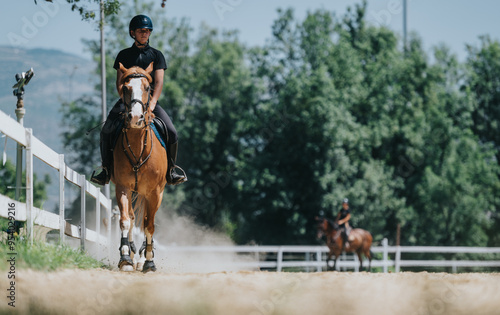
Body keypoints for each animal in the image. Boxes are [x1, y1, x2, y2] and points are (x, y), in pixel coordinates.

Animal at [111, 62, 168, 274]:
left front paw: (149, 262)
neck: (137, 147)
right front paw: (126, 258)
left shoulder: (155, 192)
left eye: (147, 88)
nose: (135, 117)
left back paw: (143, 258)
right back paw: (134, 255)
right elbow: (125, 220)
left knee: (144, 221)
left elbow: (149, 226)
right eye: (126, 88)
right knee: (133, 217)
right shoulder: (122, 187)